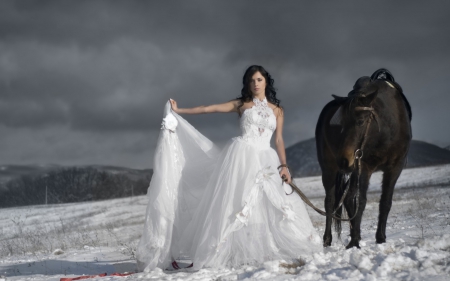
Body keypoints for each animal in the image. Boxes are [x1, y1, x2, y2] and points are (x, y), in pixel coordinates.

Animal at [316, 69, 412, 248]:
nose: (344, 160)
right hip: (329, 168)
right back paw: (327, 240)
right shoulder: (365, 167)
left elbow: (385, 202)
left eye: (360, 121)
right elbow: (361, 201)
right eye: (341, 123)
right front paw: (354, 242)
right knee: (330, 202)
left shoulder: (395, 167)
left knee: (347, 198)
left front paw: (380, 238)